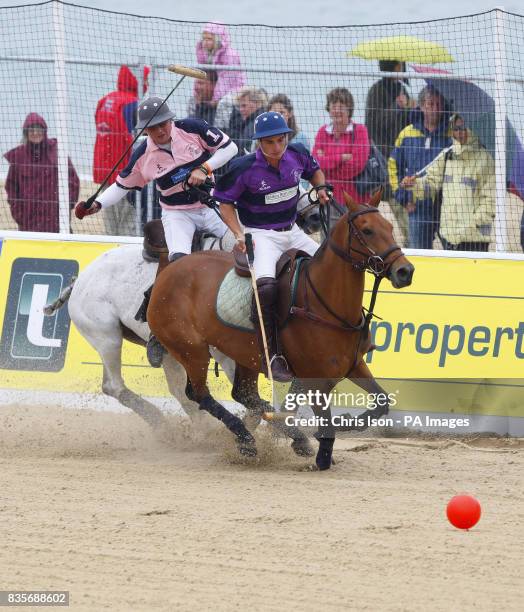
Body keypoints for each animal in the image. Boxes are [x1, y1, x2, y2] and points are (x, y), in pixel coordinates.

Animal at [149, 191, 416, 468]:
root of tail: (168, 270)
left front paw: (344, 422)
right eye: (367, 230)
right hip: (191, 349)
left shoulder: (353, 365)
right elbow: (326, 426)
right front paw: (323, 455)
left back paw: (276, 434)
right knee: (199, 394)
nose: (405, 271)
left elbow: (382, 401)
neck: (326, 304)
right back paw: (247, 438)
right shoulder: (316, 378)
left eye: (389, 227)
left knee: (243, 394)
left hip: (244, 353)